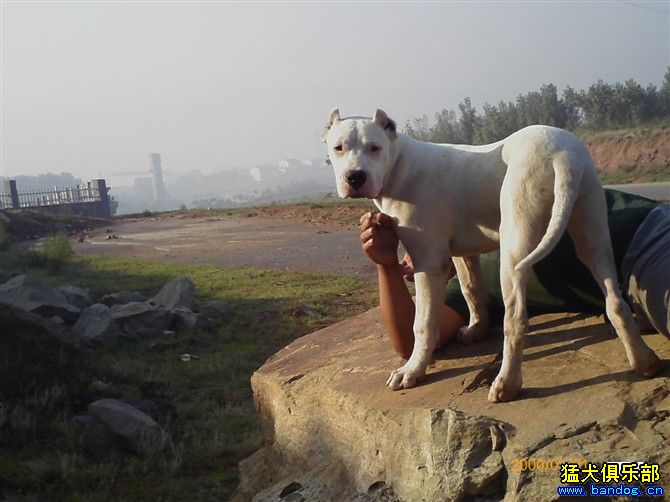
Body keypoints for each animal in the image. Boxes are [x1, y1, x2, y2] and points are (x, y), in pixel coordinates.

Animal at [322, 108, 664, 402]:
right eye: (338, 148)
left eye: (374, 148)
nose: (355, 177)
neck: (398, 164)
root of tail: (563, 153)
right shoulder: (461, 254)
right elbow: (471, 289)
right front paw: (476, 329)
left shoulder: (428, 261)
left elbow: (424, 323)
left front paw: (412, 371)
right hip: (592, 230)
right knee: (615, 300)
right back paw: (644, 362)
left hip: (516, 239)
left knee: (516, 318)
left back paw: (506, 385)